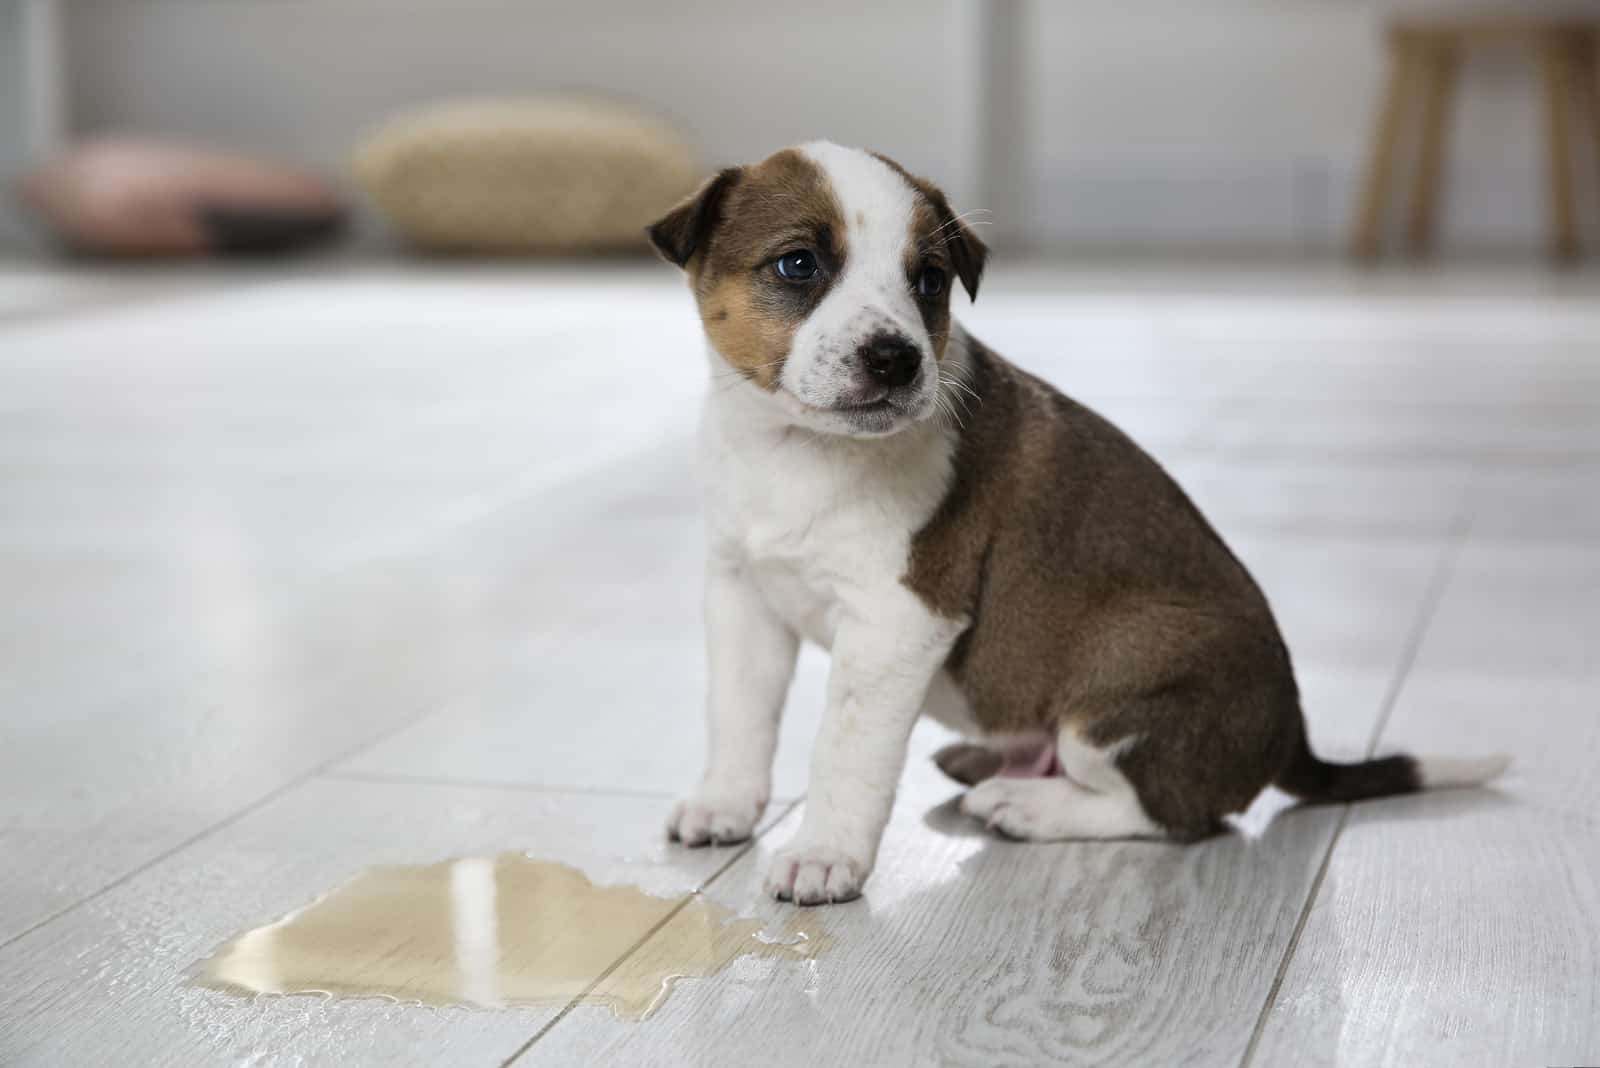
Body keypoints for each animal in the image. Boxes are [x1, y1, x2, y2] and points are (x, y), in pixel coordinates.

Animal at [643, 141, 1504, 908]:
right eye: (798, 265)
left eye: (929, 280)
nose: (897, 358)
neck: (794, 449)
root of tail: (1292, 734)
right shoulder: (743, 593)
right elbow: (739, 714)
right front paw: (725, 802)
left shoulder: (897, 621)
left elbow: (845, 751)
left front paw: (825, 854)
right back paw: (991, 767)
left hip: (1121, 682)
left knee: (1176, 814)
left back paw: (1027, 806)